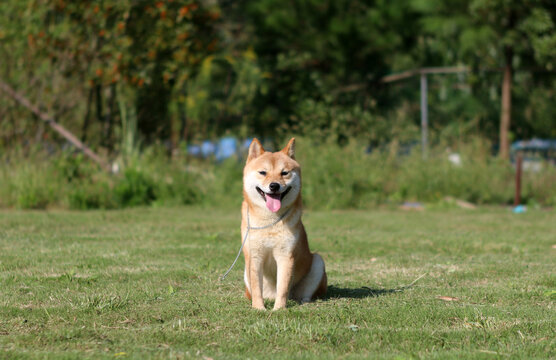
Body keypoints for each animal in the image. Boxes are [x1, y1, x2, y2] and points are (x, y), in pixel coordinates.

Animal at [242, 137, 326, 310]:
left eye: (284, 173)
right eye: (263, 172)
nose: (274, 185)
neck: (270, 220)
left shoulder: (285, 256)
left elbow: (282, 286)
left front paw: (278, 309)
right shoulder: (254, 256)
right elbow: (257, 287)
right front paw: (259, 308)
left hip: (318, 262)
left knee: (304, 294)